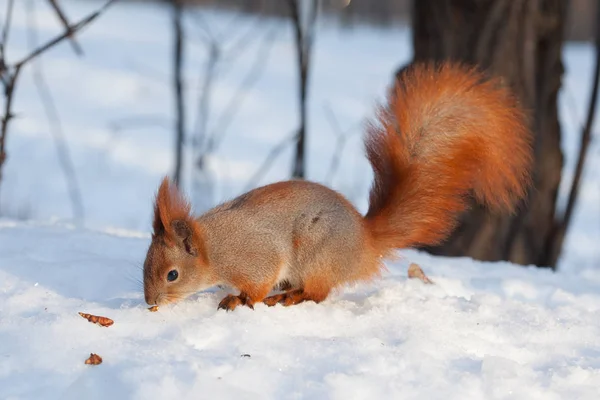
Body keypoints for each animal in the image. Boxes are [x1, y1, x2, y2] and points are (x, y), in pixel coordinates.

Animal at [143, 63, 532, 312]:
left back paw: (287, 298)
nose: (150, 302)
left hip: (318, 257)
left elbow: (257, 284)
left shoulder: (256, 258)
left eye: (173, 274)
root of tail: (365, 242)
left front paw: (240, 300)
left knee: (318, 294)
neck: (214, 248)